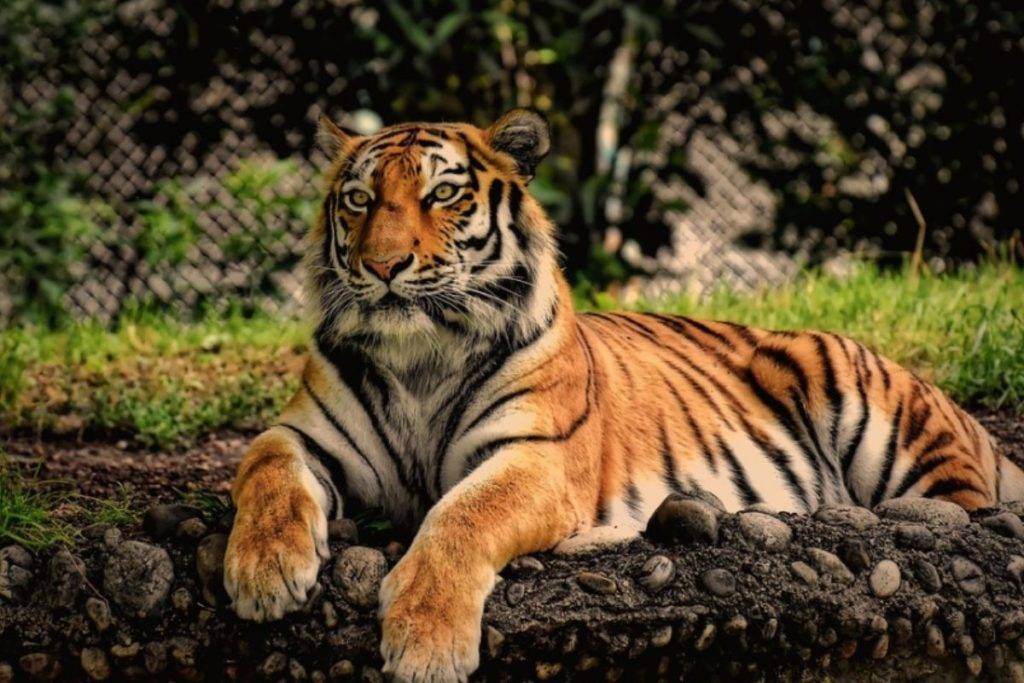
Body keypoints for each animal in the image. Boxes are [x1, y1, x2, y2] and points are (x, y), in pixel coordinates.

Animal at [223, 108, 1023, 682]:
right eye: (359, 201)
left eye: (441, 194)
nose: (383, 265)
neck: (420, 356)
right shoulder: (304, 433)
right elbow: (264, 469)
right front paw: (265, 573)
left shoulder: (534, 456)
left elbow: (461, 516)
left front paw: (425, 641)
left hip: (883, 416)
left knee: (959, 510)